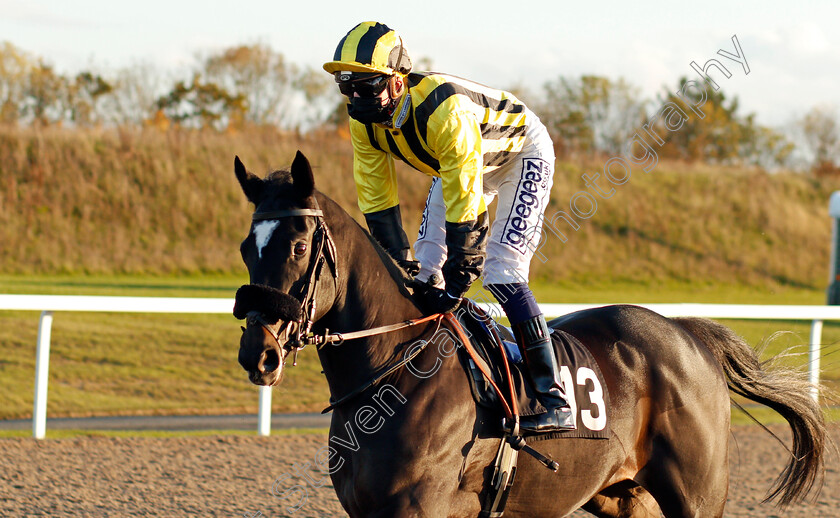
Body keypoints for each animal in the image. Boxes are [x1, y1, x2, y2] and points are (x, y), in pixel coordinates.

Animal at [233, 152, 824, 516]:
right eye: (246, 247)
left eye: (298, 247)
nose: (257, 354)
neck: (396, 371)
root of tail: (685, 333)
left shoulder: (421, 507)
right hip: (621, 493)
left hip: (698, 494)